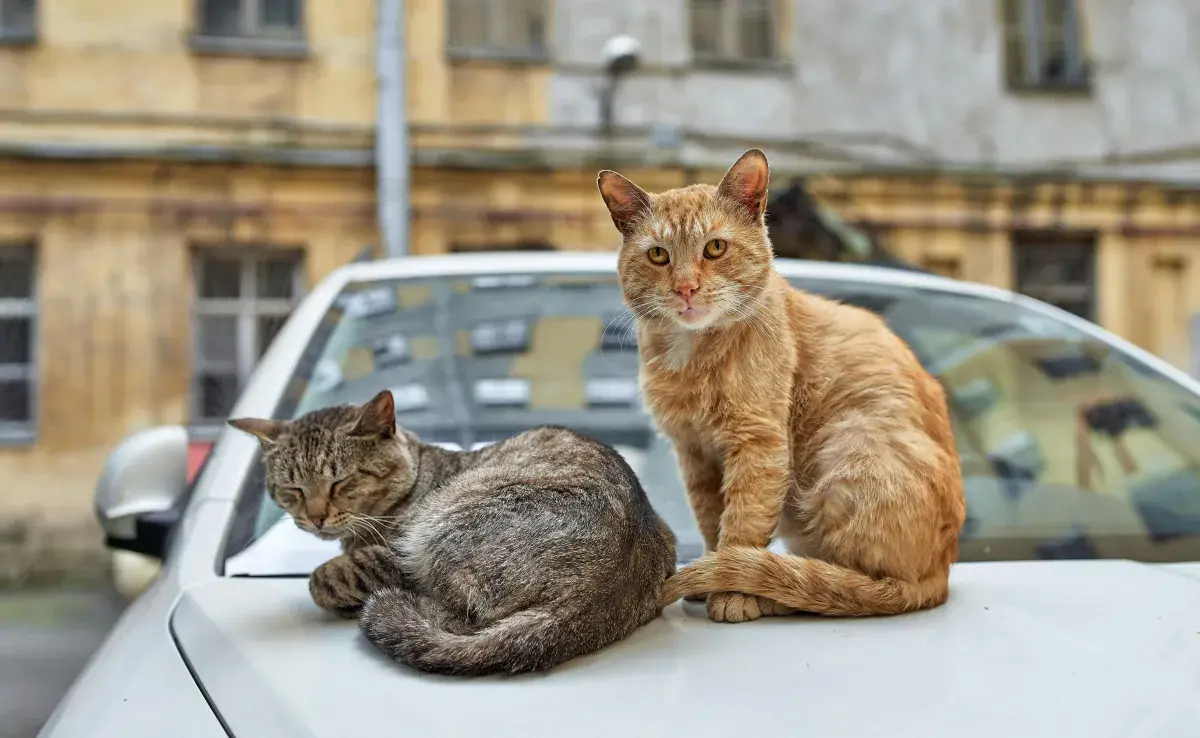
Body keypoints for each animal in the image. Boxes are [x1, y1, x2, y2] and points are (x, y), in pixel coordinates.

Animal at [225, 388, 676, 676]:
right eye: (293, 489)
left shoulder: (392, 552)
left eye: (341, 482)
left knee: (463, 615)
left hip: (441, 529)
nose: (316, 517)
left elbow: (325, 577)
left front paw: (330, 583)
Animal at [597, 150, 964, 624]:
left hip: (847, 449)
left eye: (715, 248)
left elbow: (743, 526)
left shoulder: (759, 445)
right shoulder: (694, 453)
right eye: (659, 255)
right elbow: (712, 519)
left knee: (854, 586)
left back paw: (775, 593)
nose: (686, 288)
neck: (690, 356)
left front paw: (731, 590)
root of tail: (942, 572)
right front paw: (714, 573)